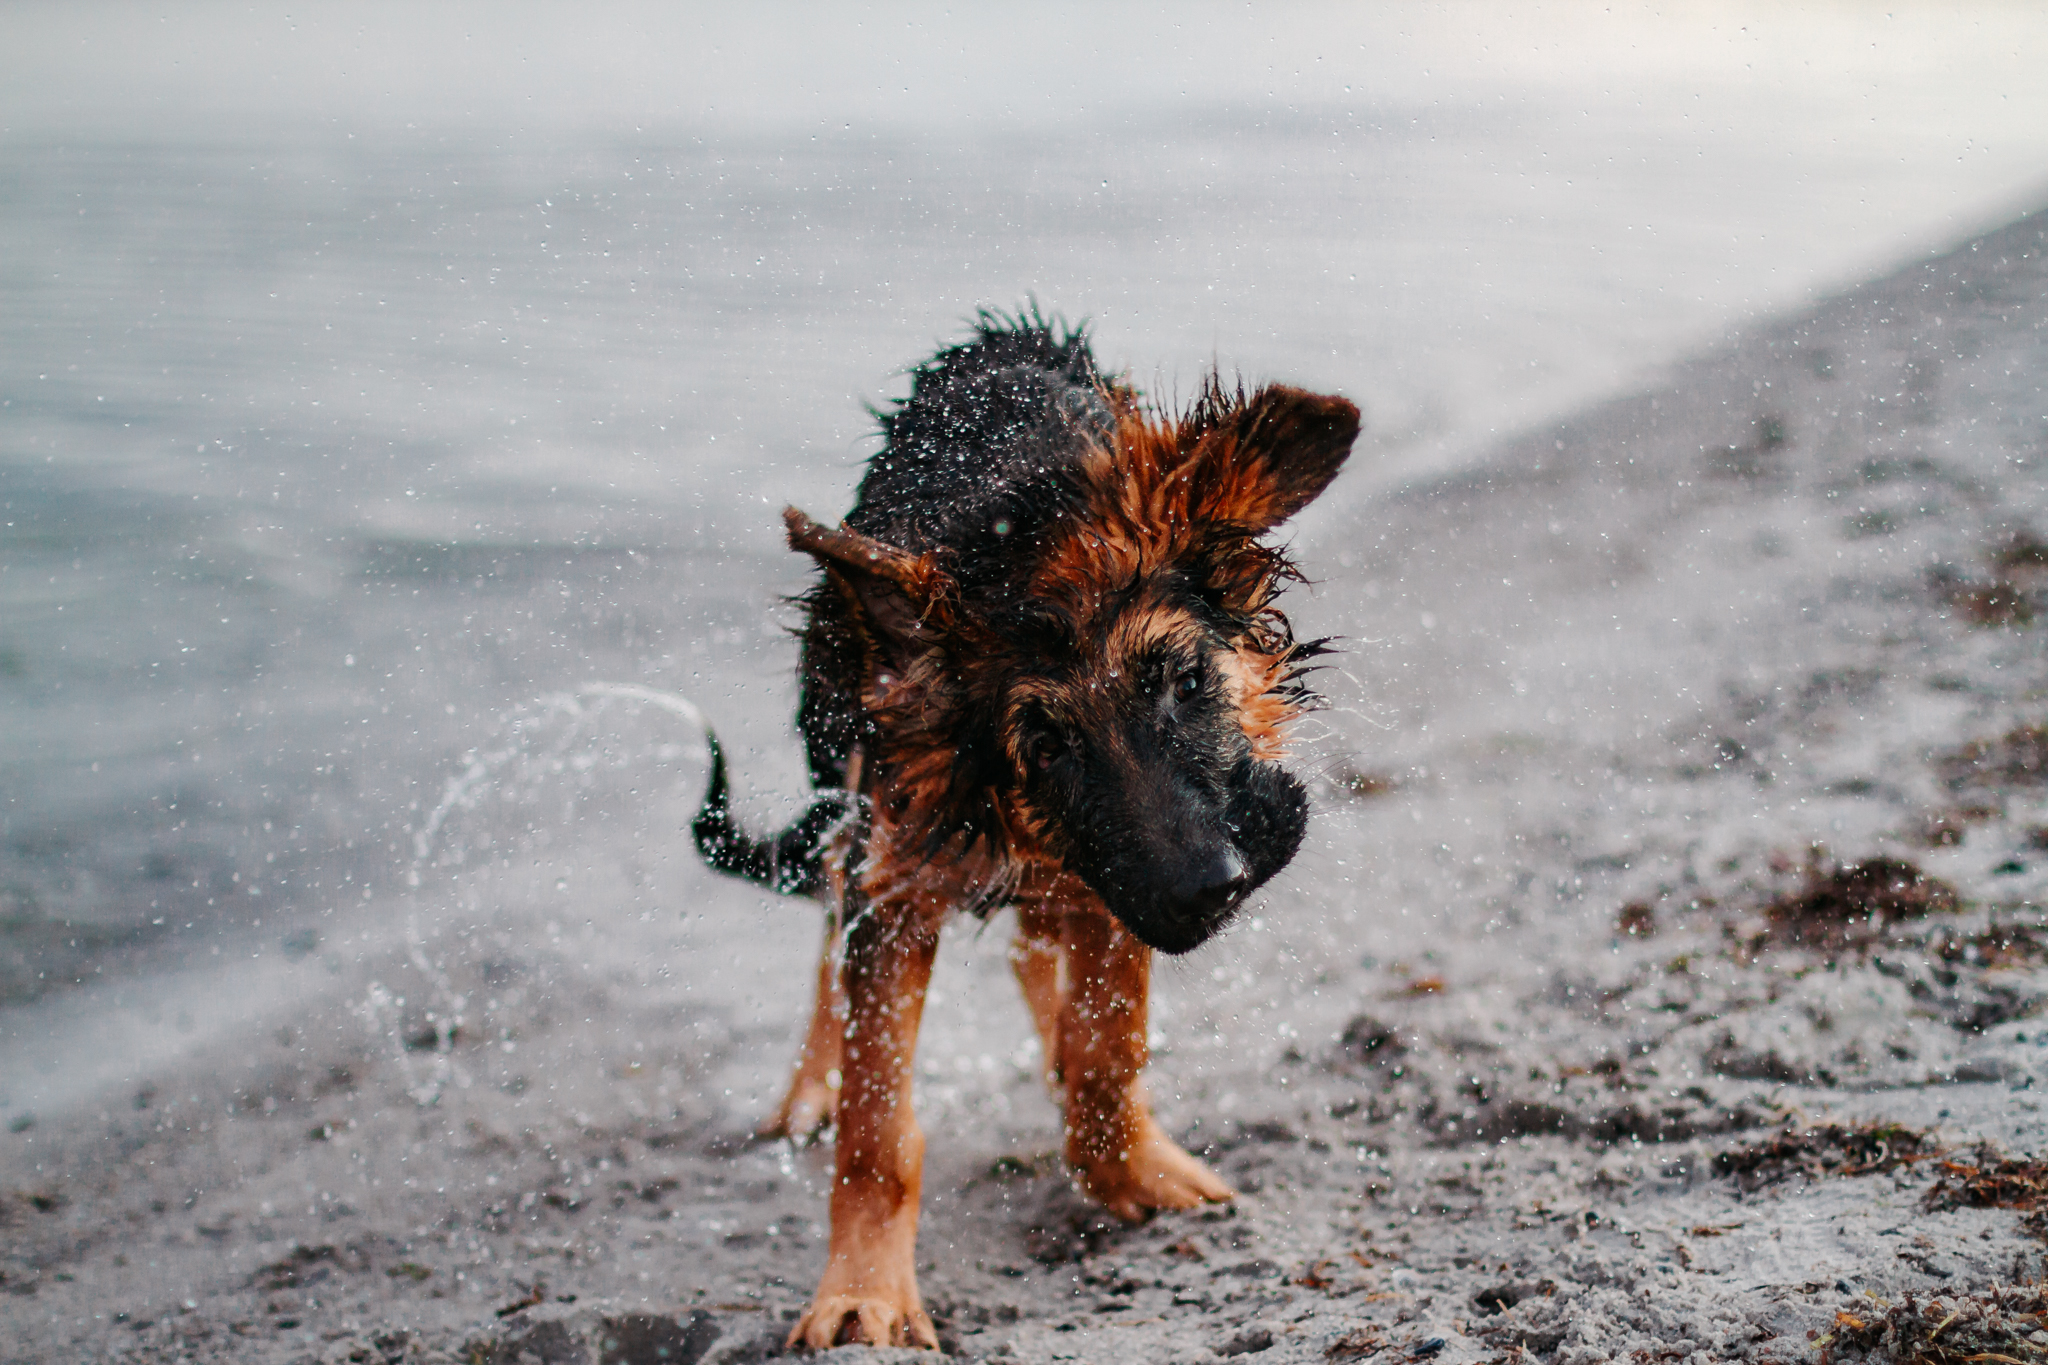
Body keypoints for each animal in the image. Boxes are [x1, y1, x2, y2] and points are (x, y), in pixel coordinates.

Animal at [692, 315, 1359, 1350]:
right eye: (1043, 746)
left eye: (1185, 680)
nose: (1213, 888)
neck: (1016, 515)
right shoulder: (908, 862)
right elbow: (877, 1125)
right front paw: (863, 1291)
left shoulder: (1113, 875)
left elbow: (1106, 1054)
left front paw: (1133, 1161)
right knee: (833, 937)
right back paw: (811, 1086)